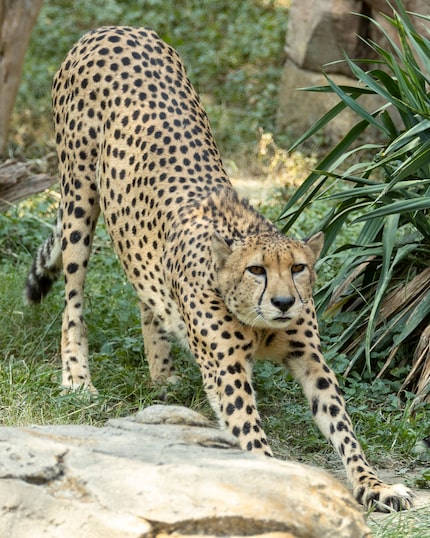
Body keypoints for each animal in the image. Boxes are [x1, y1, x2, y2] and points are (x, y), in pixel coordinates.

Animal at [26, 26, 414, 510]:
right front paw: (280, 484)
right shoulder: (227, 370)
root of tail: (113, 29)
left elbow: (343, 426)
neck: (257, 321)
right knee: (73, 297)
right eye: (256, 271)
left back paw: (163, 374)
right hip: (79, 195)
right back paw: (77, 376)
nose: (283, 302)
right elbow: (250, 435)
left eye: (299, 268)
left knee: (144, 289)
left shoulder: (311, 360)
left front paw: (374, 485)